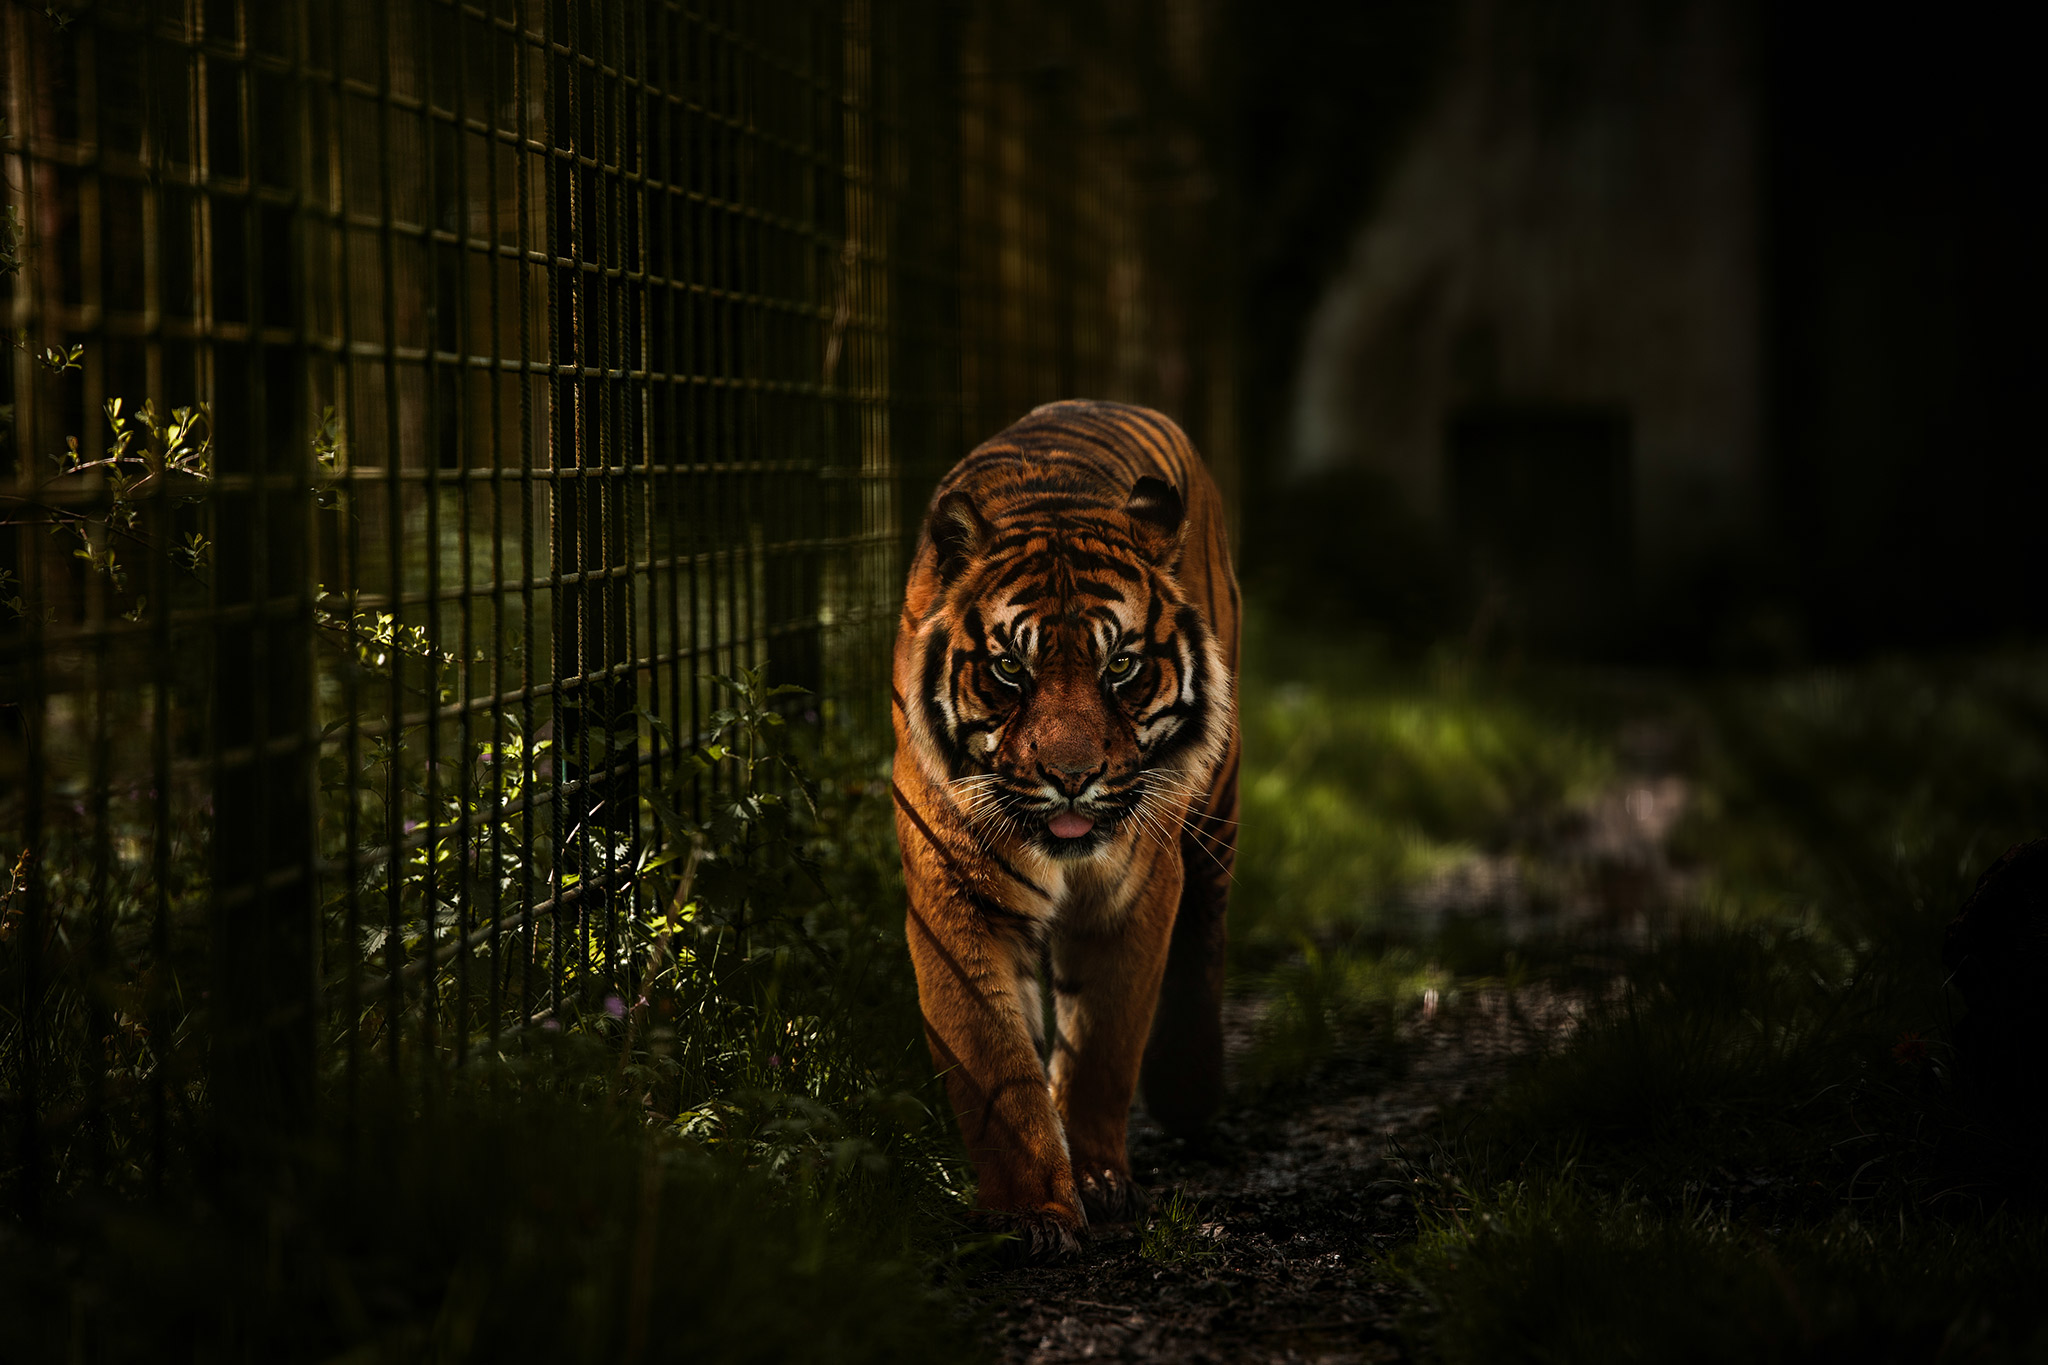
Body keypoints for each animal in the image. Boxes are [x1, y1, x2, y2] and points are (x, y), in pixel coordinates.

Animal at [891, 399, 1240, 1257]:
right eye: (1010, 669)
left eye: (1121, 666)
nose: (1071, 774)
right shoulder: (956, 898)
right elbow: (996, 1065)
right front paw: (1034, 1210)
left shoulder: (1136, 891)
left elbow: (1105, 1046)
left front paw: (1099, 1180)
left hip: (1217, 804)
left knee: (1207, 928)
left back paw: (1191, 1094)